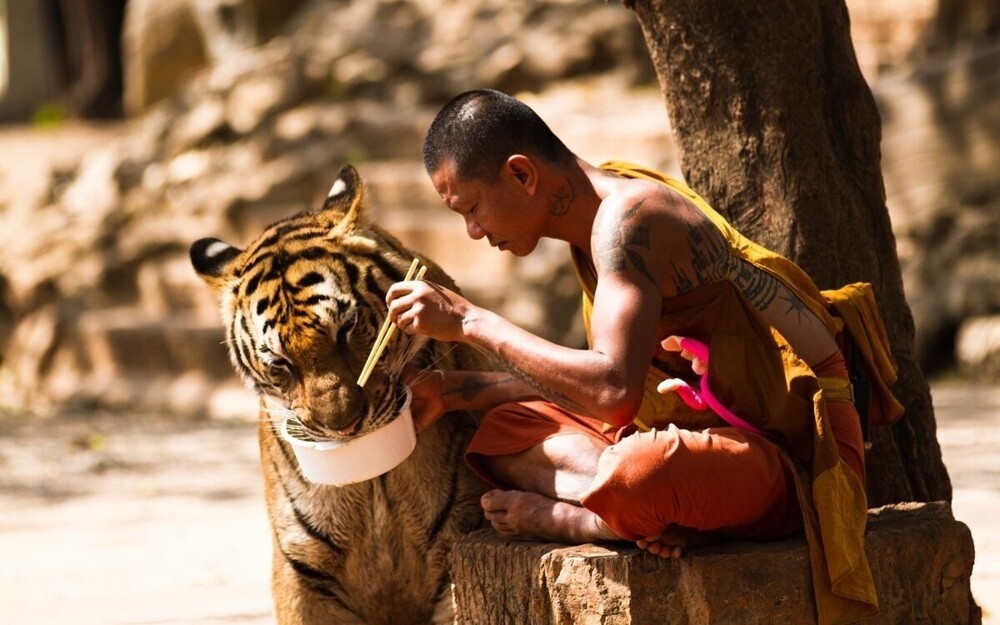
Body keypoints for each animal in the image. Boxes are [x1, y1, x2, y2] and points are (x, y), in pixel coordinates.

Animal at [188, 163, 492, 620]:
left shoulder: (455, 545)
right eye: (280, 363)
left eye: (346, 329)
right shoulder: (302, 569)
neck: (374, 482)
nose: (344, 427)